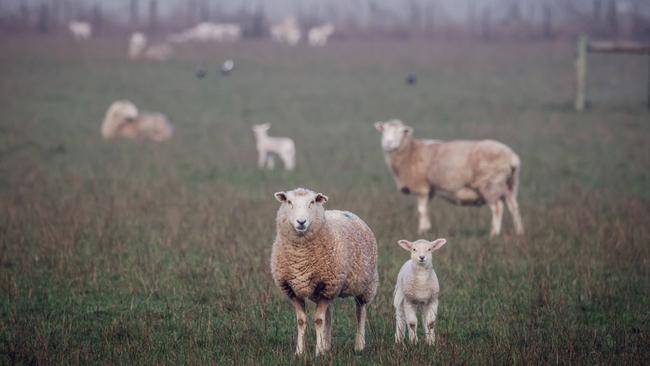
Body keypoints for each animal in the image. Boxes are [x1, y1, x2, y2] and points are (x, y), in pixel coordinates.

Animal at [270, 189, 380, 354]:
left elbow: (318, 320)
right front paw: (300, 351)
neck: (300, 255)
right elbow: (302, 320)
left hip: (365, 284)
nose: (301, 222)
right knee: (329, 314)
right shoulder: (292, 290)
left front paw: (318, 352)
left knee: (360, 311)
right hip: (326, 291)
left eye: (312, 202)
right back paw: (327, 345)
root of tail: (343, 211)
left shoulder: (327, 285)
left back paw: (359, 345)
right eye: (289, 202)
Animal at [374, 118, 520, 236]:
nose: (388, 143)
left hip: (490, 184)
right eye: (383, 130)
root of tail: (512, 157)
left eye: (401, 132)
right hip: (510, 184)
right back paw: (519, 232)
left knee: (497, 208)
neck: (410, 151)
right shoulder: (430, 190)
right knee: (513, 207)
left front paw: (420, 232)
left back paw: (494, 234)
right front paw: (426, 229)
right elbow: (426, 210)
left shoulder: (421, 187)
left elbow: (421, 211)